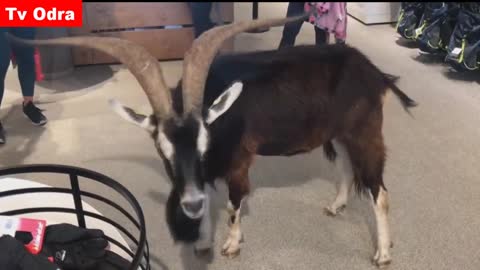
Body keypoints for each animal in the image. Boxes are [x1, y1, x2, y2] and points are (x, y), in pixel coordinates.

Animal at [8, 11, 416, 266]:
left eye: (205, 140)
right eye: (164, 151)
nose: (186, 205)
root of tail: (374, 72)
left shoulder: (238, 162)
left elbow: (234, 204)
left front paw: (230, 245)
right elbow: (207, 202)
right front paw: (202, 241)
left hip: (365, 131)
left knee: (379, 190)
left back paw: (383, 253)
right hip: (342, 133)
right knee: (348, 168)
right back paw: (337, 205)